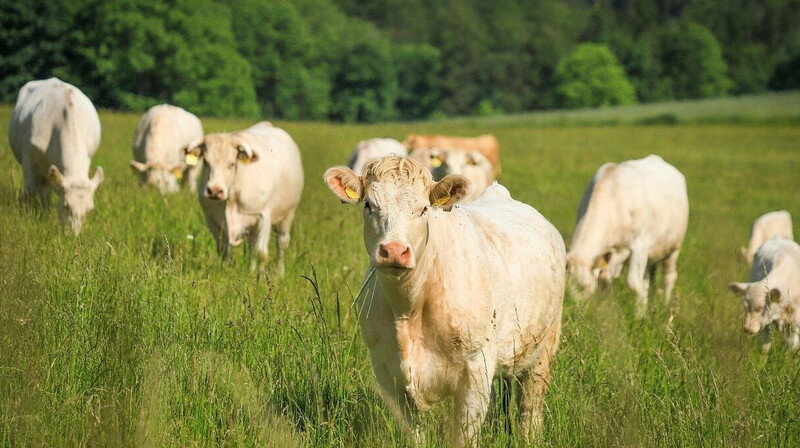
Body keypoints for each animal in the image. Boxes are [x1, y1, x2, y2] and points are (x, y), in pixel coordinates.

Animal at [7, 78, 103, 234]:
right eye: (66, 206)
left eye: (89, 210)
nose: (73, 236)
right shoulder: (28, 160)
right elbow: (30, 192)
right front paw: (28, 217)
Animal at [184, 122, 304, 276]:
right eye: (205, 162)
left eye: (232, 163)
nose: (215, 191)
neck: (232, 196)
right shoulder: (212, 219)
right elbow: (223, 250)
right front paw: (224, 273)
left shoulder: (263, 218)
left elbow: (261, 254)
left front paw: (260, 278)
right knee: (251, 246)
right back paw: (251, 271)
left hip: (287, 216)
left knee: (281, 244)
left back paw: (280, 273)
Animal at [564, 154, 692, 318]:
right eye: (566, 290)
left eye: (585, 286)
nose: (577, 314)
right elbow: (606, 281)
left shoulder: (640, 245)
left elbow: (633, 284)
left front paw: (639, 316)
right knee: (647, 281)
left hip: (674, 249)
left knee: (668, 277)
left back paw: (666, 304)